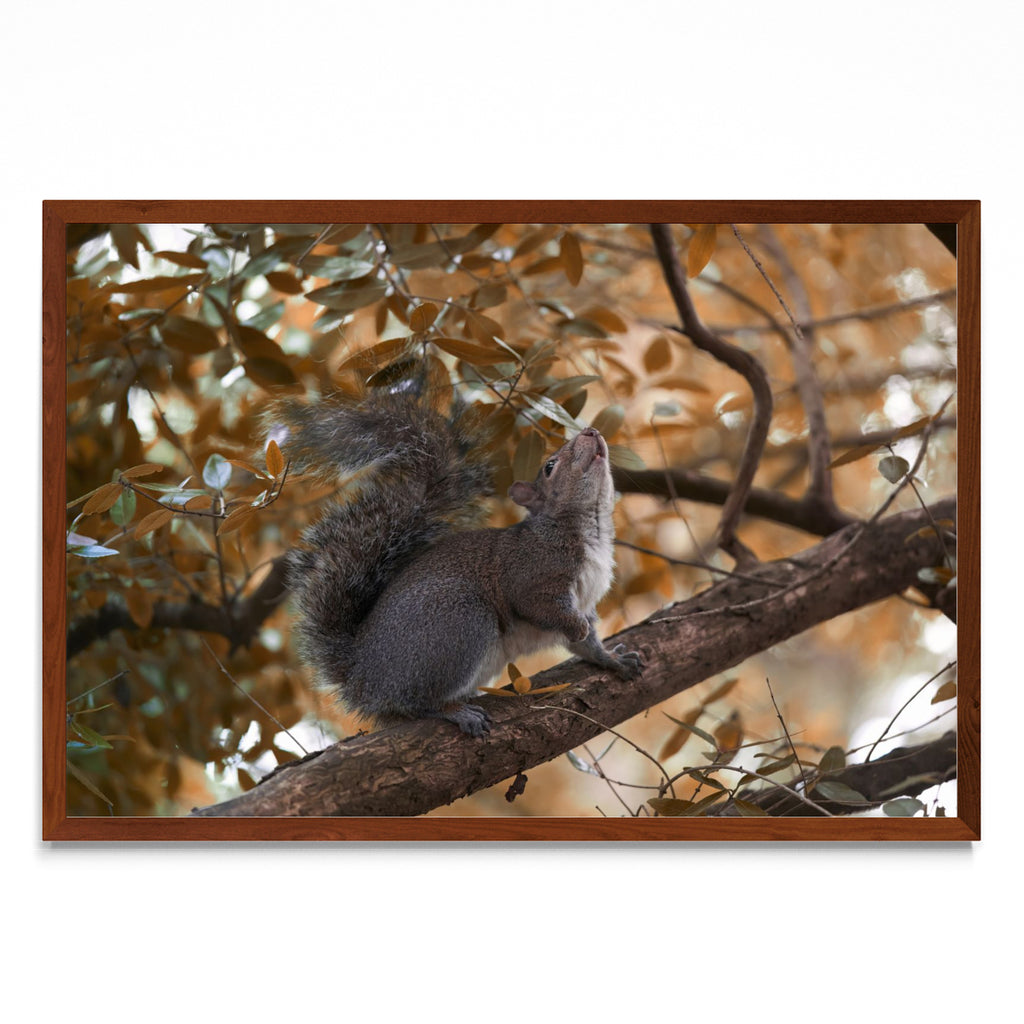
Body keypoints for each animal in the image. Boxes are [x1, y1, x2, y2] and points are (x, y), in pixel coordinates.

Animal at [271, 383, 643, 738]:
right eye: (550, 467)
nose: (591, 432)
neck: (591, 527)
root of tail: (362, 676)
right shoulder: (531, 572)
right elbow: (541, 607)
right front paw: (576, 628)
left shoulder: (586, 598)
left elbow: (588, 646)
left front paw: (613, 660)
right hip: (458, 623)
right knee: (416, 702)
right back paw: (455, 711)